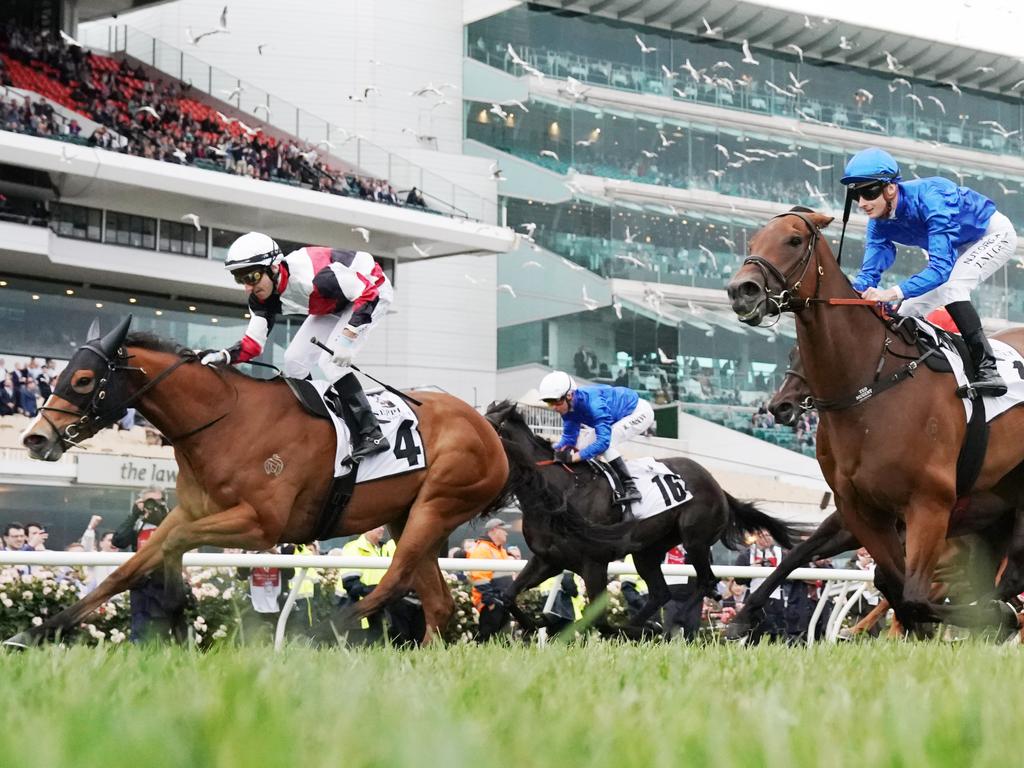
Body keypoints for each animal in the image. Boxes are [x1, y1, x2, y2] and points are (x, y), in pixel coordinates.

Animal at [9, 319, 509, 651]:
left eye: (83, 379)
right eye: (58, 374)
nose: (35, 438)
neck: (225, 421)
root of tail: (486, 426)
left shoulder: (261, 525)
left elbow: (175, 544)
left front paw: (176, 612)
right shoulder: (191, 512)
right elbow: (125, 569)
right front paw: (31, 633)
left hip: (437, 504)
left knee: (395, 576)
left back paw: (321, 631)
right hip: (408, 516)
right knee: (438, 602)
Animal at [483, 403, 802, 630]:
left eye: (487, 427)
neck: (557, 493)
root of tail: (718, 487)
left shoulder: (593, 562)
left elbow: (598, 619)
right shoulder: (547, 560)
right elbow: (508, 595)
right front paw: (534, 622)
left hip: (695, 539)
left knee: (705, 583)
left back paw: (659, 626)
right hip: (647, 551)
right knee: (662, 593)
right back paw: (637, 628)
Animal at [724, 208, 1024, 630]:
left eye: (794, 240)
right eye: (751, 242)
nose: (742, 290)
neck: (871, 387)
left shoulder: (929, 506)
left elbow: (913, 594)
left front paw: (989, 617)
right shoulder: (859, 510)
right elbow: (884, 579)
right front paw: (745, 614)